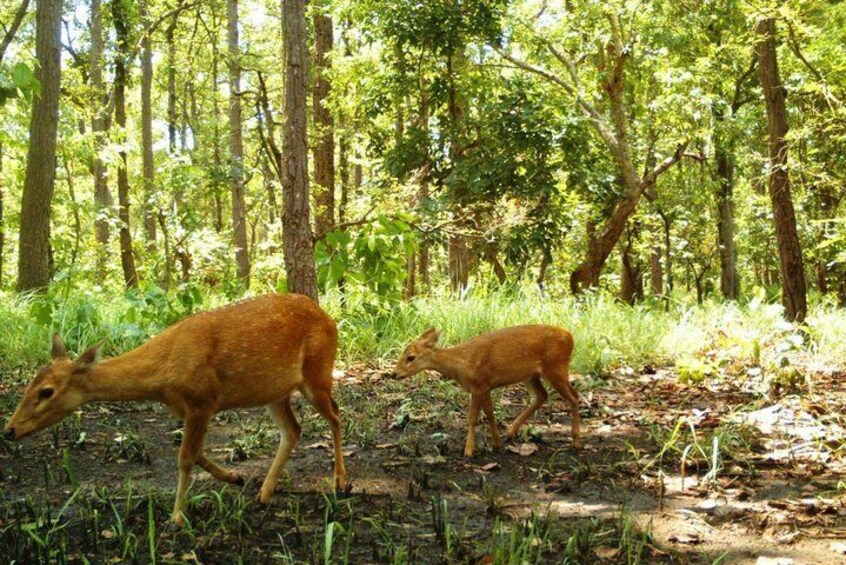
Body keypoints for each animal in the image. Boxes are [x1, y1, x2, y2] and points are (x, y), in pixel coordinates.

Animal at [3, 294, 348, 528]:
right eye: (29, 385)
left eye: (46, 391)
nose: (9, 430)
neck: (164, 373)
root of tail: (329, 318)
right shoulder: (187, 409)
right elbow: (196, 453)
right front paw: (234, 477)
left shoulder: (202, 400)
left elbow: (184, 459)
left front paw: (176, 517)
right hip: (274, 391)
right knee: (293, 429)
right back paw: (264, 493)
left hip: (318, 372)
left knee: (335, 415)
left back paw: (340, 481)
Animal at [392, 324, 584, 456]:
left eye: (411, 357)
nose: (394, 374)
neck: (461, 364)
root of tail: (570, 337)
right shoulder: (485, 386)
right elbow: (490, 413)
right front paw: (496, 443)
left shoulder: (478, 386)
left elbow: (472, 418)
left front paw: (468, 450)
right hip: (531, 375)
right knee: (542, 396)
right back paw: (510, 432)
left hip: (556, 368)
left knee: (574, 397)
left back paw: (575, 442)